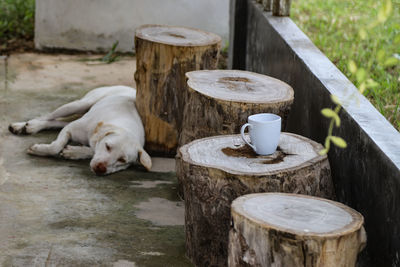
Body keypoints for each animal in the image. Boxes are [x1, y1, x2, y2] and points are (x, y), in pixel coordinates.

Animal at [9, 86, 153, 176]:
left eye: (122, 160)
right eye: (107, 146)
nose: (100, 168)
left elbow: (91, 150)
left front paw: (74, 152)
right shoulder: (70, 129)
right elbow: (56, 146)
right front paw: (39, 150)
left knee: (58, 122)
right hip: (78, 105)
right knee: (48, 116)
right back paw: (27, 125)